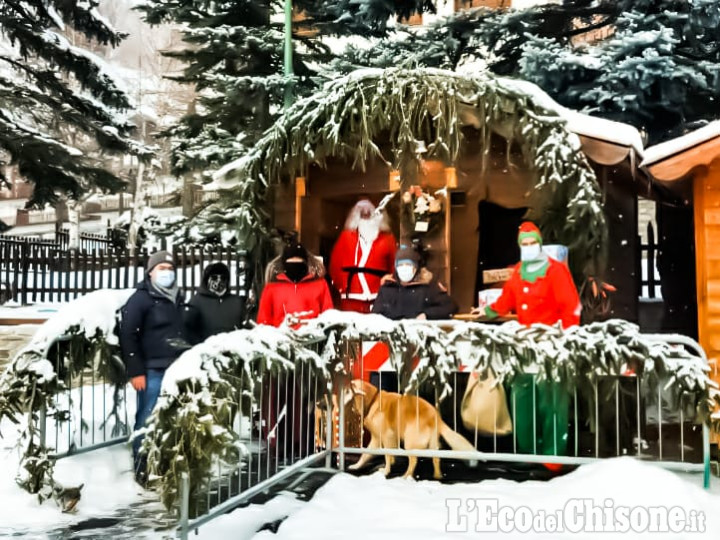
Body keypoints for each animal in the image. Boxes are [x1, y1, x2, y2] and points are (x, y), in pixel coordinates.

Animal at [344, 378, 478, 478]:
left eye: (347, 390)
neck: (373, 400)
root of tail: (434, 416)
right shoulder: (377, 440)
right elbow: (365, 455)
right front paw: (356, 466)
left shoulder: (386, 437)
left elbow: (386, 455)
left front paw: (386, 471)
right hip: (432, 444)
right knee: (436, 458)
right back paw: (437, 476)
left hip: (409, 442)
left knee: (414, 461)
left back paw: (405, 477)